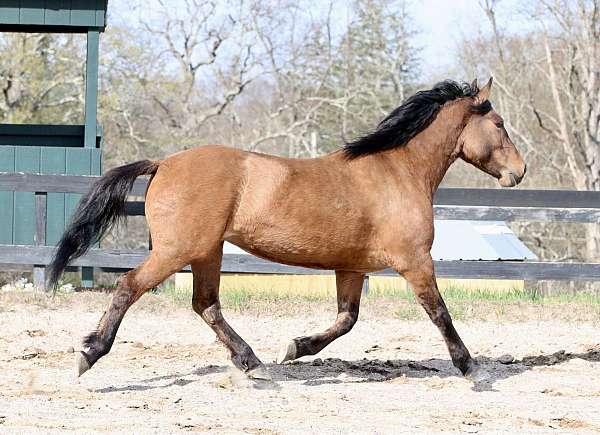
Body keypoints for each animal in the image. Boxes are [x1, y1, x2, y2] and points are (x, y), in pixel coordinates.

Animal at [48, 77, 524, 382]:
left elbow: (346, 320)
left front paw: (295, 347)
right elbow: (440, 312)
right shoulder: (414, 262)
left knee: (206, 305)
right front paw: (471, 368)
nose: (518, 172)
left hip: (206, 251)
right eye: (500, 124)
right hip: (175, 251)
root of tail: (163, 162)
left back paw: (254, 364)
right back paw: (88, 355)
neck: (397, 171)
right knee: (130, 286)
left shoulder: (351, 268)